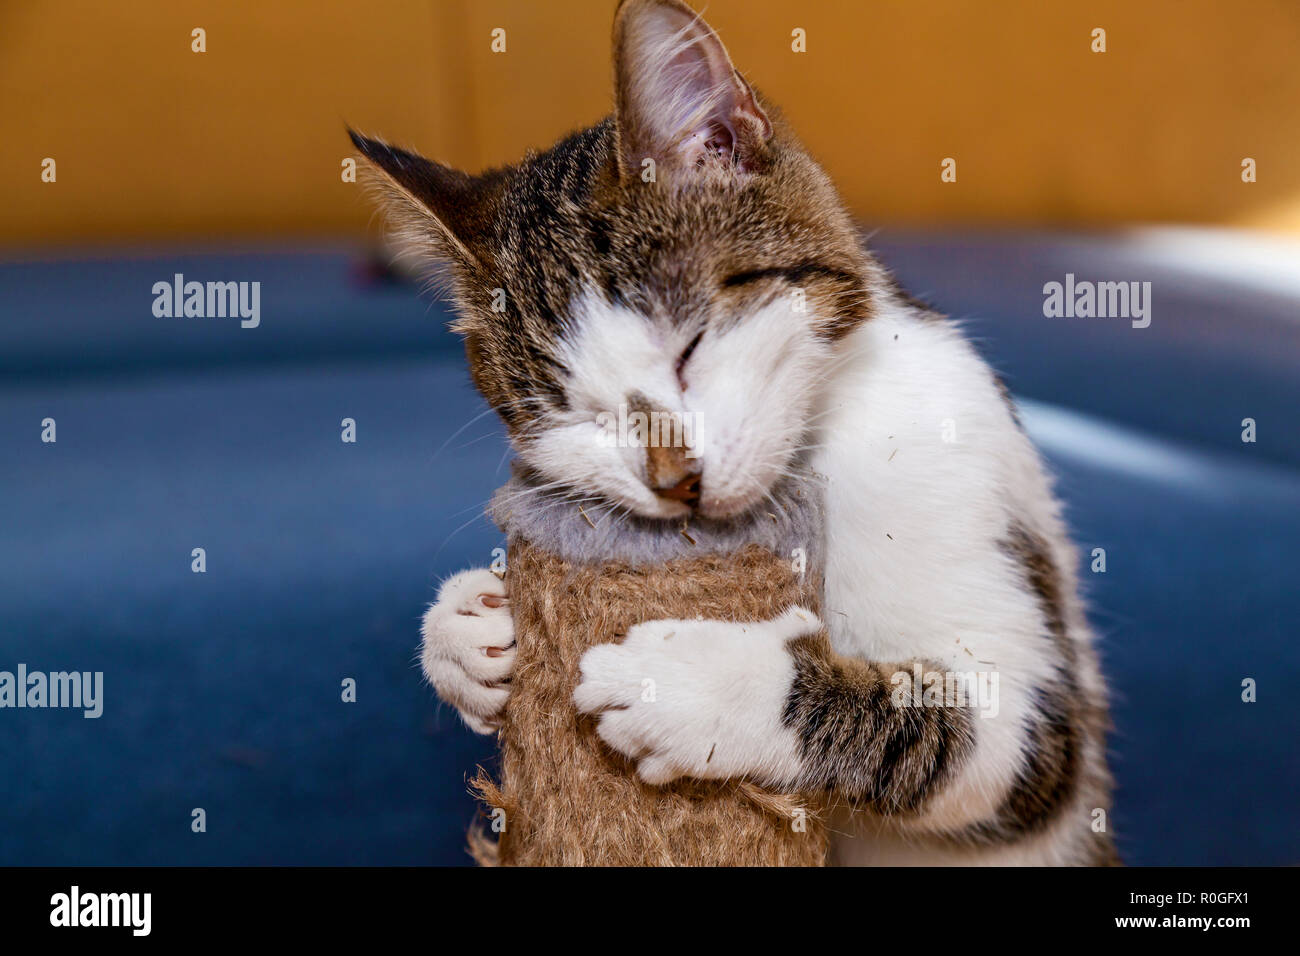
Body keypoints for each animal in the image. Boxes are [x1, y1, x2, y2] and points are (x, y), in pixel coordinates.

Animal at [356, 0, 1118, 868]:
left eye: (690, 346)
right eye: (571, 412)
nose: (675, 479)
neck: (819, 449)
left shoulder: (1029, 696)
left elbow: (956, 728)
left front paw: (701, 685)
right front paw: (465, 626)